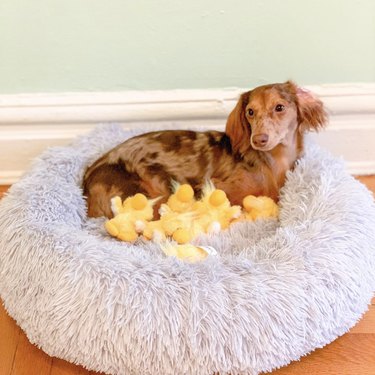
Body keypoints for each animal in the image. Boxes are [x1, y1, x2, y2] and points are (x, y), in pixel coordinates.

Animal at [83, 81, 328, 219]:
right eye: (250, 111)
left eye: (279, 107)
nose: (258, 139)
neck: (273, 163)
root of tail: (86, 180)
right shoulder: (215, 188)